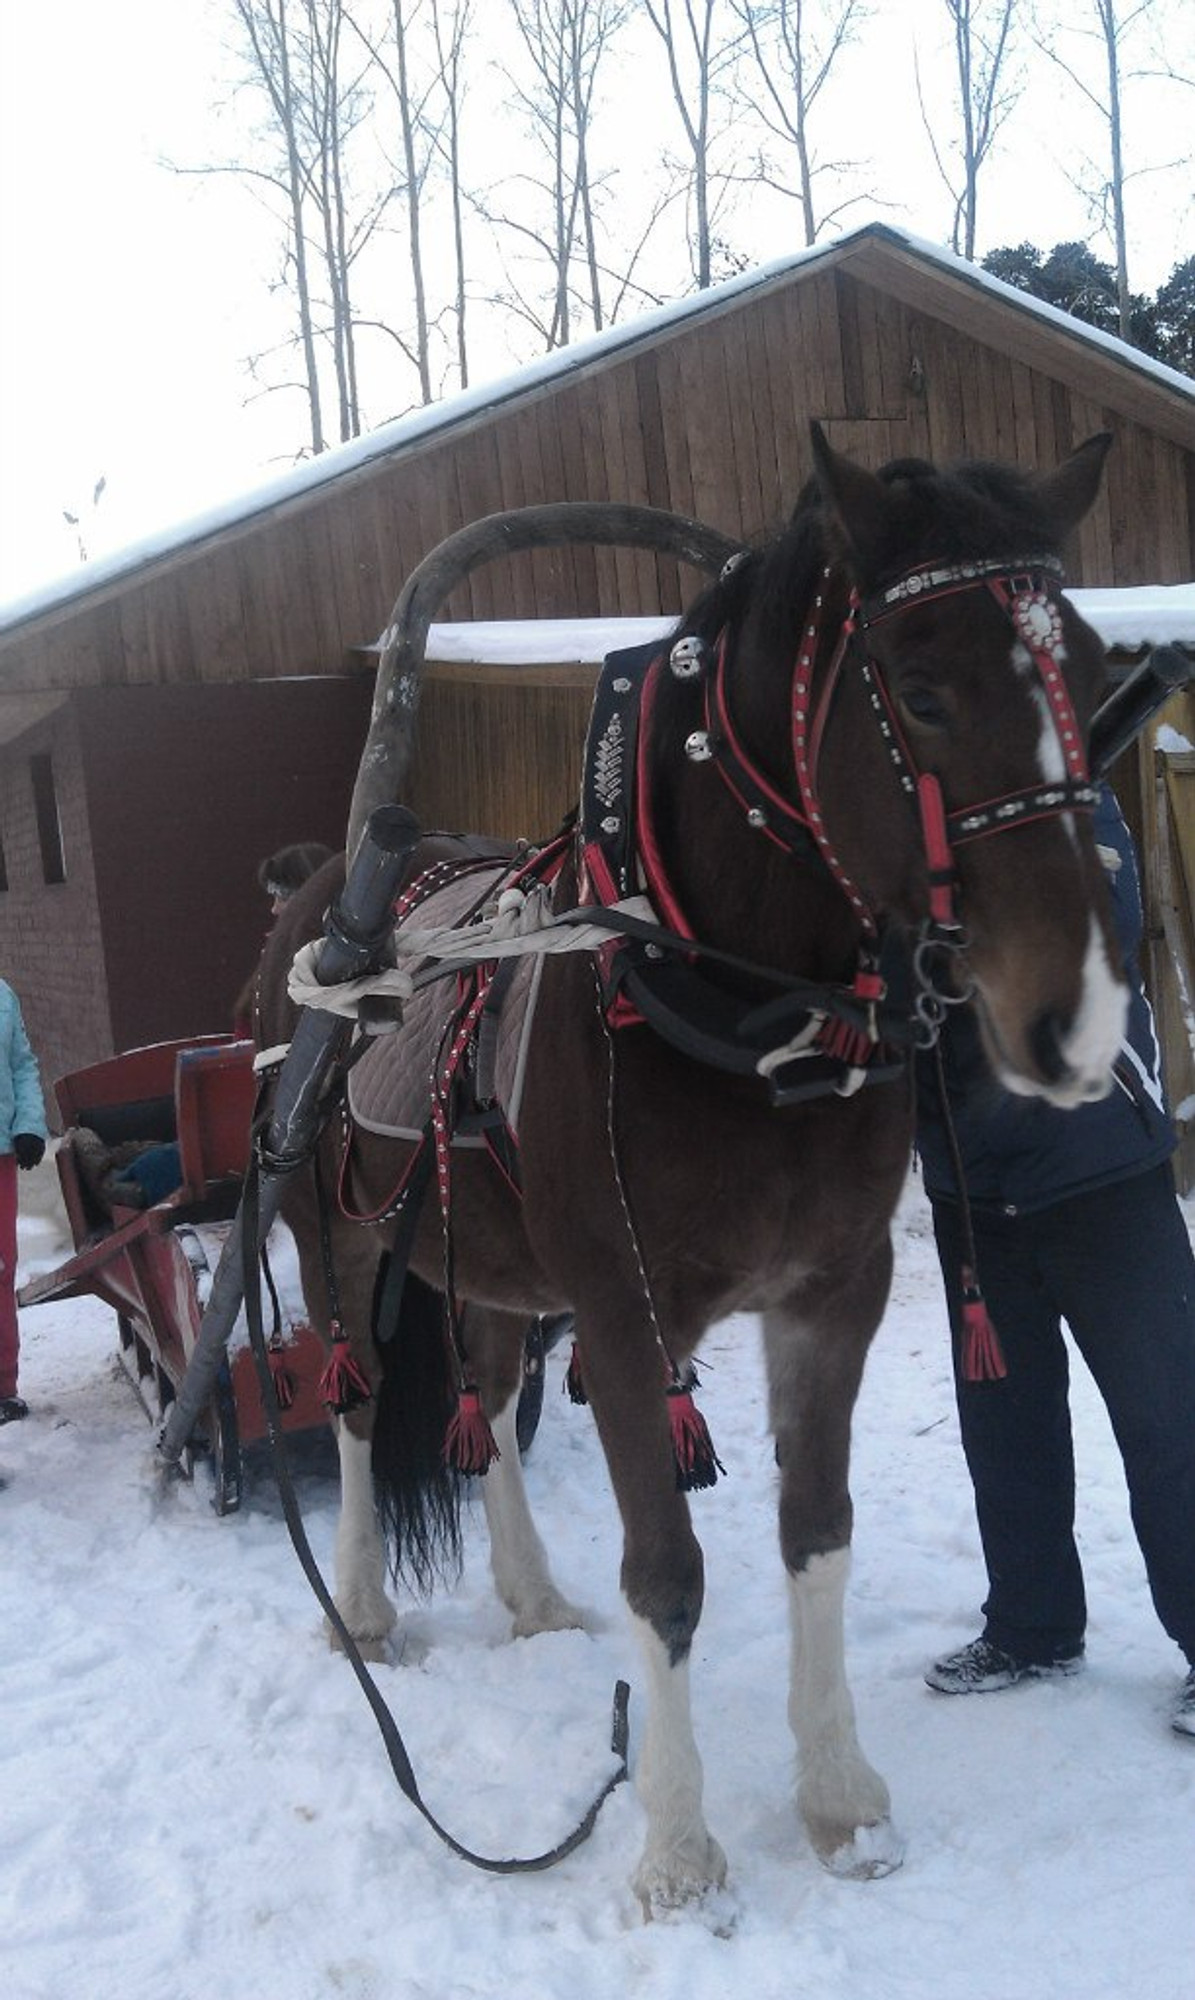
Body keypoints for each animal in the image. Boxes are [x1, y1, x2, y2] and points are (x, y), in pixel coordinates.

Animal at [252, 430, 1127, 1912]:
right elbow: (665, 1567)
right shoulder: (618, 1310)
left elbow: (815, 1530)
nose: (1074, 1020)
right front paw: (672, 1845)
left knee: (484, 1390)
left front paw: (838, 1800)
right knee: (360, 1403)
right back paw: (364, 1607)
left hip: (490, 1261)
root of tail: (329, 886)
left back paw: (531, 1595)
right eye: (922, 692)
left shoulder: (832, 1293)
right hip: (342, 1236)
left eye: (1084, 661)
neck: (723, 1002)